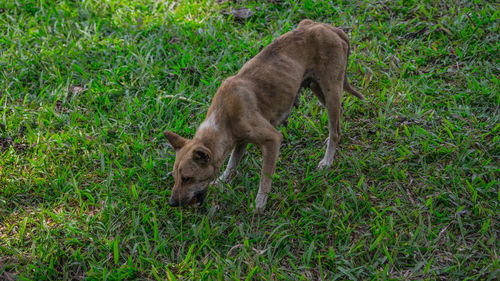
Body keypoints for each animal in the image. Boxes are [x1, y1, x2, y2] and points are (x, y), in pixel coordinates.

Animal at [164, 19, 364, 211]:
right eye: (175, 177)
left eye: (187, 178)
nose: (172, 203)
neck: (223, 119)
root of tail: (331, 28)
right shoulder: (241, 140)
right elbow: (232, 163)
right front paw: (223, 180)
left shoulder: (272, 139)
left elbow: (265, 178)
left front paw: (260, 203)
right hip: (318, 88)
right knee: (337, 121)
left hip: (330, 92)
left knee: (335, 130)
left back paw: (327, 160)